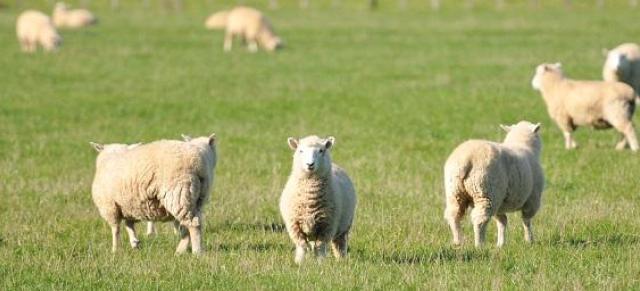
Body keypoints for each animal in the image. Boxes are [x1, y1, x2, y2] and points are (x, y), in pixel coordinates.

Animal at [89, 135, 218, 256]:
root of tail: (199, 164)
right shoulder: (128, 205)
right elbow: (129, 225)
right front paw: (134, 243)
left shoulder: (110, 207)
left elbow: (115, 229)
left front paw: (115, 250)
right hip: (197, 198)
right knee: (189, 225)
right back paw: (180, 251)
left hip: (178, 194)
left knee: (193, 224)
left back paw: (197, 252)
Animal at [280, 136, 360, 266]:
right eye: (301, 151)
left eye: (321, 151)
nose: (310, 164)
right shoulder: (295, 226)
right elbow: (302, 246)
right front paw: (299, 263)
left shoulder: (327, 226)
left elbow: (320, 247)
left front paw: (320, 264)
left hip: (344, 227)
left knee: (339, 244)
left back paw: (341, 260)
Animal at [444, 121, 544, 249]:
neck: (522, 144)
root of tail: (466, 159)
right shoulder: (532, 199)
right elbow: (526, 221)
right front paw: (529, 240)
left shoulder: (500, 203)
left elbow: (502, 222)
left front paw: (501, 243)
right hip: (486, 193)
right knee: (479, 219)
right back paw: (479, 244)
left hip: (455, 193)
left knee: (453, 216)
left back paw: (458, 241)